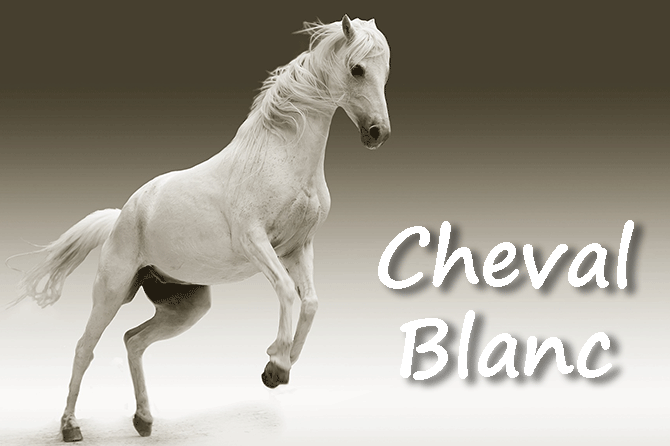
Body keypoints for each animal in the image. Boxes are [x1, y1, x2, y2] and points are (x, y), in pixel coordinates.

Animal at [11, 15, 390, 442]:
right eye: (357, 69)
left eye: (385, 71)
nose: (378, 133)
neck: (281, 157)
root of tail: (121, 216)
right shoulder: (255, 242)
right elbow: (286, 292)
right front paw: (277, 364)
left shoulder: (298, 248)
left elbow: (310, 302)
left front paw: (278, 366)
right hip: (110, 292)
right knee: (84, 348)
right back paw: (70, 426)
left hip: (186, 307)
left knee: (133, 341)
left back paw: (143, 419)